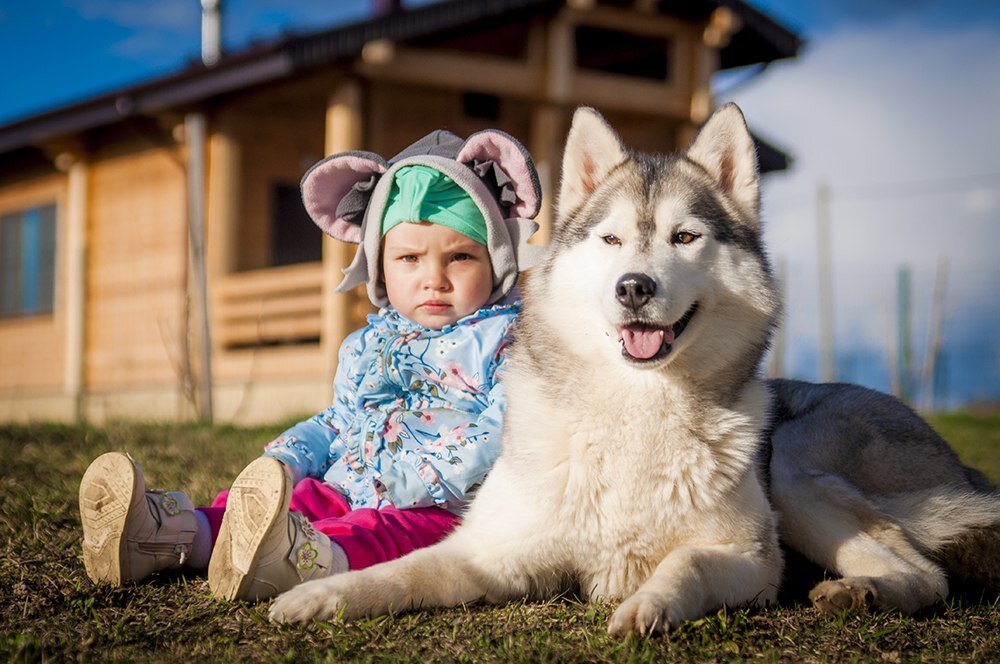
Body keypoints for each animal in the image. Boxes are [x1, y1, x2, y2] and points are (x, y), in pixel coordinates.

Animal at [270, 104, 1000, 632]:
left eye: (685, 237)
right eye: (612, 239)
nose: (634, 287)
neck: (636, 410)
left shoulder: (752, 562)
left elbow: (686, 564)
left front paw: (647, 605)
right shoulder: (490, 554)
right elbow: (399, 574)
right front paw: (319, 594)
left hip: (795, 463)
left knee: (929, 575)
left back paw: (858, 593)